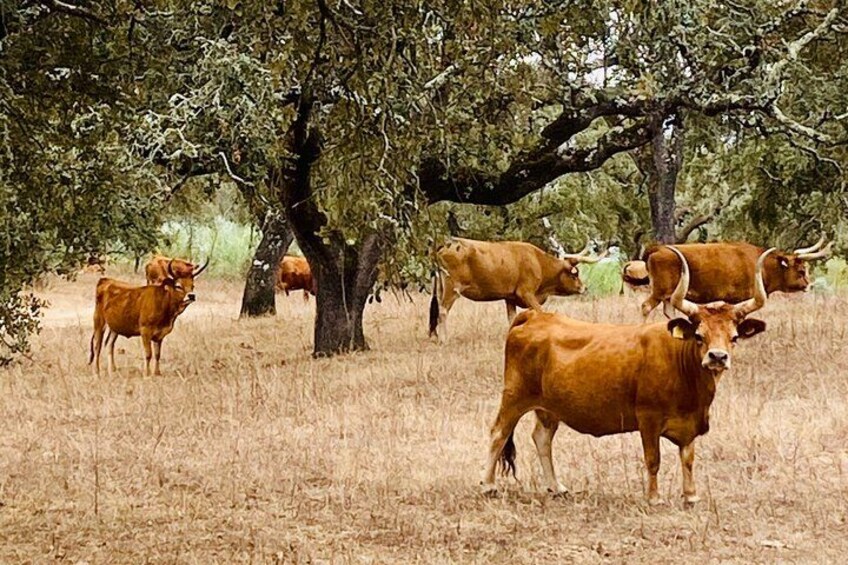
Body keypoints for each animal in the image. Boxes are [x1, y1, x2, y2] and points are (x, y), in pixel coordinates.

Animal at [428, 238, 603, 342]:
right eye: (575, 274)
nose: (584, 287)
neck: (538, 262)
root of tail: (444, 246)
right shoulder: (526, 293)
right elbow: (540, 312)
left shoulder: (509, 298)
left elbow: (512, 319)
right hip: (452, 288)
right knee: (443, 311)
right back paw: (444, 339)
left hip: (441, 288)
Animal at [481, 246, 773, 506]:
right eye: (700, 335)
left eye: (734, 337)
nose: (717, 357)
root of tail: (533, 317)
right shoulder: (648, 418)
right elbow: (653, 459)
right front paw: (654, 498)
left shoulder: (689, 424)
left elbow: (688, 458)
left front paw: (690, 495)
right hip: (514, 396)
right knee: (498, 433)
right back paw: (488, 484)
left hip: (549, 407)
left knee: (542, 438)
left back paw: (556, 486)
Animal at [640, 237, 831, 319]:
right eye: (801, 270)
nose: (809, 285)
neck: (761, 263)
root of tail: (658, 248)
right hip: (659, 291)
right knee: (645, 307)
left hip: (668, 296)